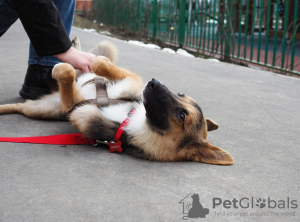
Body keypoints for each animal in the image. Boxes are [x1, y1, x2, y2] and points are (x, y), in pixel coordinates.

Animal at [0, 39, 233, 165]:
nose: (154, 82)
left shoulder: (72, 107)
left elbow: (68, 76)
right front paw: (90, 64)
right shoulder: (131, 79)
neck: (128, 118)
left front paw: (63, 68)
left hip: (42, 109)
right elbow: (101, 64)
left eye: (182, 115)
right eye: (181, 94)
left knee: (23, 106)